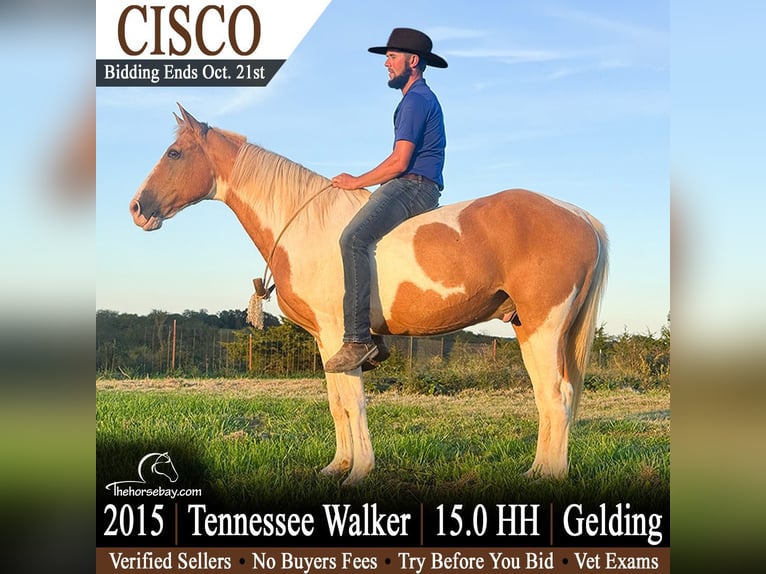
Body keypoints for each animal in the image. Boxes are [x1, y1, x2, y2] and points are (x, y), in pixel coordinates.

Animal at [129, 104, 608, 486]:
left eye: (174, 153)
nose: (137, 208)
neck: (308, 226)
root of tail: (580, 215)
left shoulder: (340, 336)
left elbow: (354, 402)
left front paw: (359, 472)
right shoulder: (326, 341)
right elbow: (337, 403)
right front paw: (337, 466)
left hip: (545, 328)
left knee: (557, 395)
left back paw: (550, 476)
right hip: (529, 329)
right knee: (550, 397)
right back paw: (536, 470)